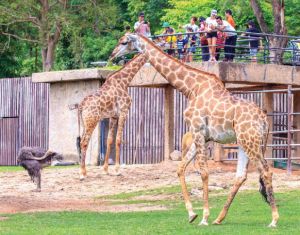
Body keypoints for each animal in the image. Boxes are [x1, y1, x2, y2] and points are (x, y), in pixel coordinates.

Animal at [109, 33, 278, 228]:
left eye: (123, 42)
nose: (112, 55)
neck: (191, 88)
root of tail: (265, 120)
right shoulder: (203, 136)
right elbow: (181, 168)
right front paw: (192, 214)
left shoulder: (197, 130)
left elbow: (203, 172)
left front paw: (204, 217)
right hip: (244, 142)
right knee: (241, 175)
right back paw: (219, 218)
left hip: (250, 141)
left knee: (265, 171)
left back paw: (274, 220)